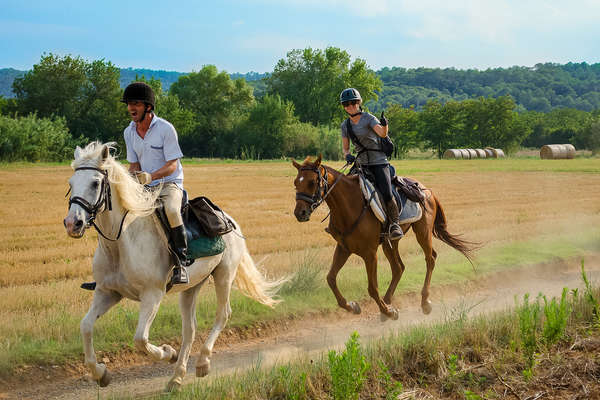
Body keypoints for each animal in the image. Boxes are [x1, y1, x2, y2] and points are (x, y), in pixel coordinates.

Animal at [63, 143, 286, 390]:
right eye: (71, 184)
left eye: (95, 183)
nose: (73, 224)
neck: (121, 243)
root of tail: (230, 220)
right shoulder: (107, 292)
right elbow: (86, 326)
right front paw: (100, 373)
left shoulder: (152, 295)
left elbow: (140, 339)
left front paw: (168, 352)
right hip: (191, 287)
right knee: (190, 329)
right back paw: (177, 377)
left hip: (224, 275)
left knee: (222, 315)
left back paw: (202, 362)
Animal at [292, 155, 476, 320]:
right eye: (296, 183)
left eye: (312, 182)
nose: (300, 213)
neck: (349, 205)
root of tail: (427, 190)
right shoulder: (344, 248)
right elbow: (330, 278)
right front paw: (352, 306)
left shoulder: (370, 253)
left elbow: (372, 288)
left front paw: (388, 312)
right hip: (391, 241)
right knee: (398, 267)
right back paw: (388, 301)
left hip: (422, 232)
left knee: (429, 259)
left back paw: (423, 302)